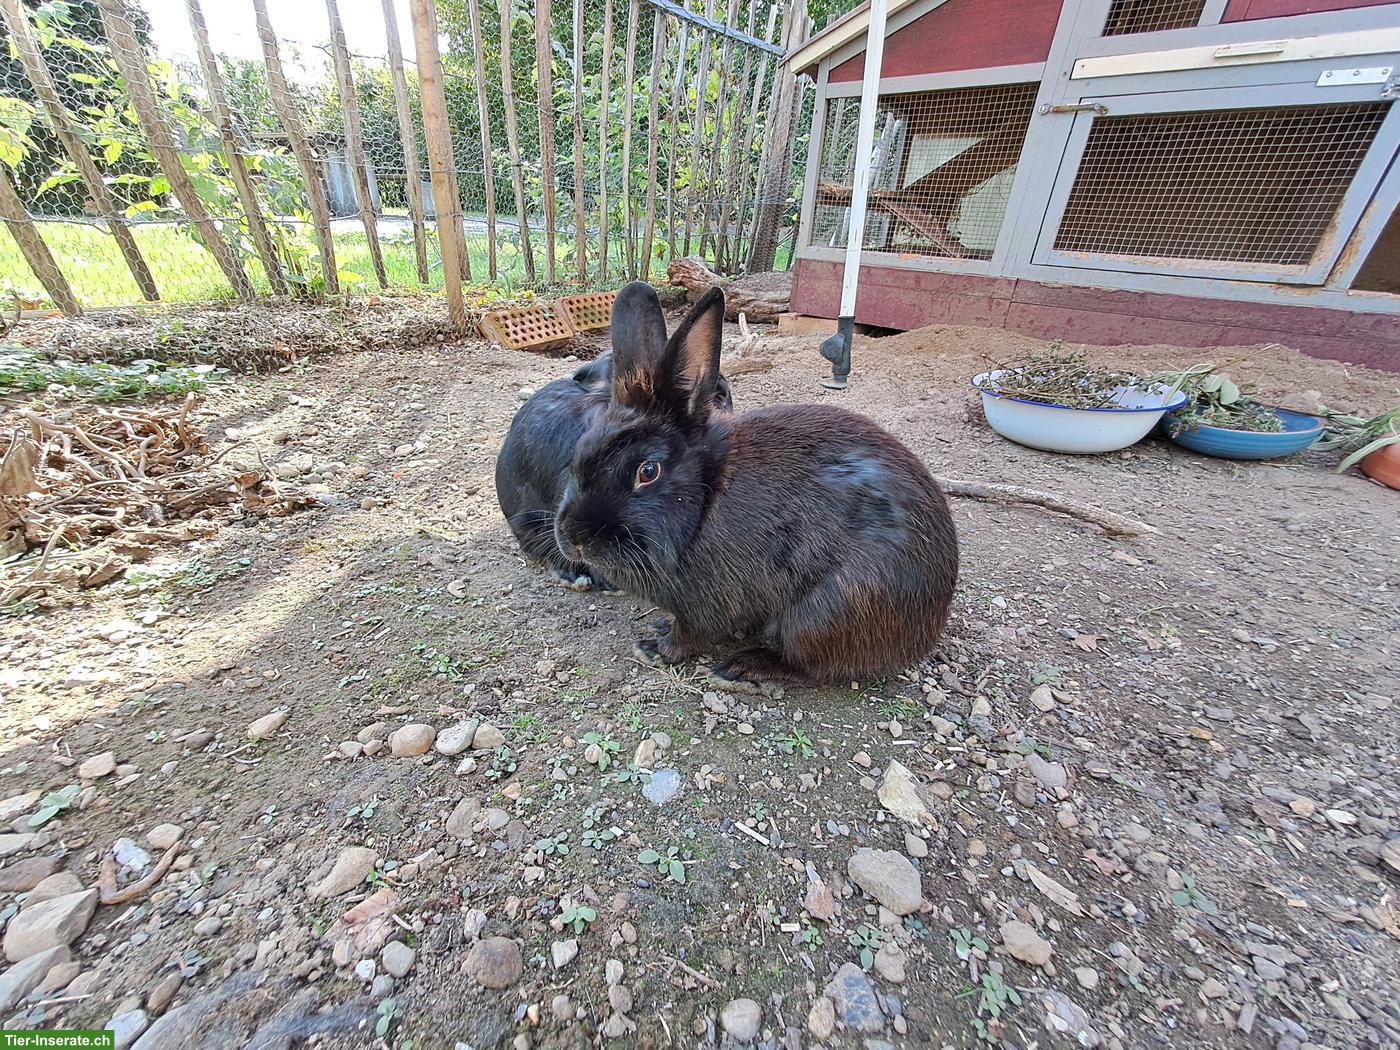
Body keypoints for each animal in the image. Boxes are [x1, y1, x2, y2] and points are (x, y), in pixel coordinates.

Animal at [554, 281, 959, 686]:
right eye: (580, 451)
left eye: (647, 471)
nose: (575, 539)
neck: (706, 496)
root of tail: (929, 627)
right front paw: (660, 630)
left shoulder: (706, 603)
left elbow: (689, 634)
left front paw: (657, 648)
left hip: (823, 613)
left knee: (808, 665)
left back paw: (745, 666)